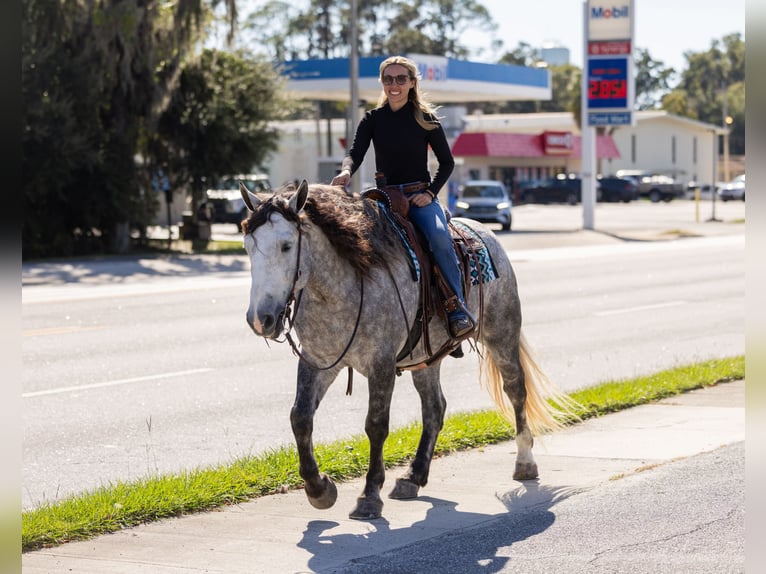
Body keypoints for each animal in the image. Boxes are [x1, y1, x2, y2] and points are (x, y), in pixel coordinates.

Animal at [239, 180, 576, 520]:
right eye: (248, 247)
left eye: (286, 245)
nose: (260, 319)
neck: (344, 282)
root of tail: (487, 233)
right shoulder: (319, 362)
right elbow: (300, 417)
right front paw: (319, 489)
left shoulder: (381, 364)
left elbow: (376, 425)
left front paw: (369, 496)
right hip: (427, 359)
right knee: (435, 408)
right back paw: (414, 476)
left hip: (501, 334)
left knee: (516, 390)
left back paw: (524, 462)